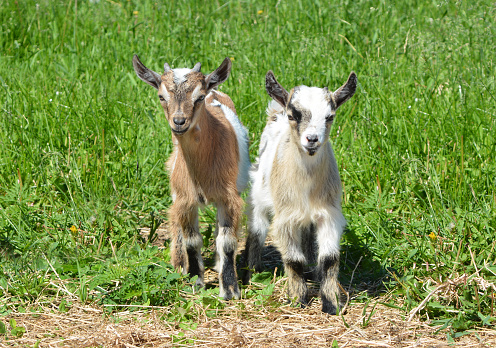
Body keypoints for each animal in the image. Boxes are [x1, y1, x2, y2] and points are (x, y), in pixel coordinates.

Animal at [132, 54, 250, 300]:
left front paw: (230, 289)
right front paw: (195, 281)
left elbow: (227, 241)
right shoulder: (185, 199)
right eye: (161, 96)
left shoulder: (229, 198)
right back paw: (179, 265)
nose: (179, 121)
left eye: (199, 97)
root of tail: (217, 91)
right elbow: (192, 241)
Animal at [243, 69, 356, 314]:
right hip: (259, 194)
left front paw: (332, 303)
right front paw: (297, 299)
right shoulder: (286, 218)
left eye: (329, 116)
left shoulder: (328, 215)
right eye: (293, 115)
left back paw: (312, 272)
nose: (312, 139)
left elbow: (330, 259)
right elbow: (293, 260)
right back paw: (252, 270)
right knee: (257, 228)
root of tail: (275, 112)